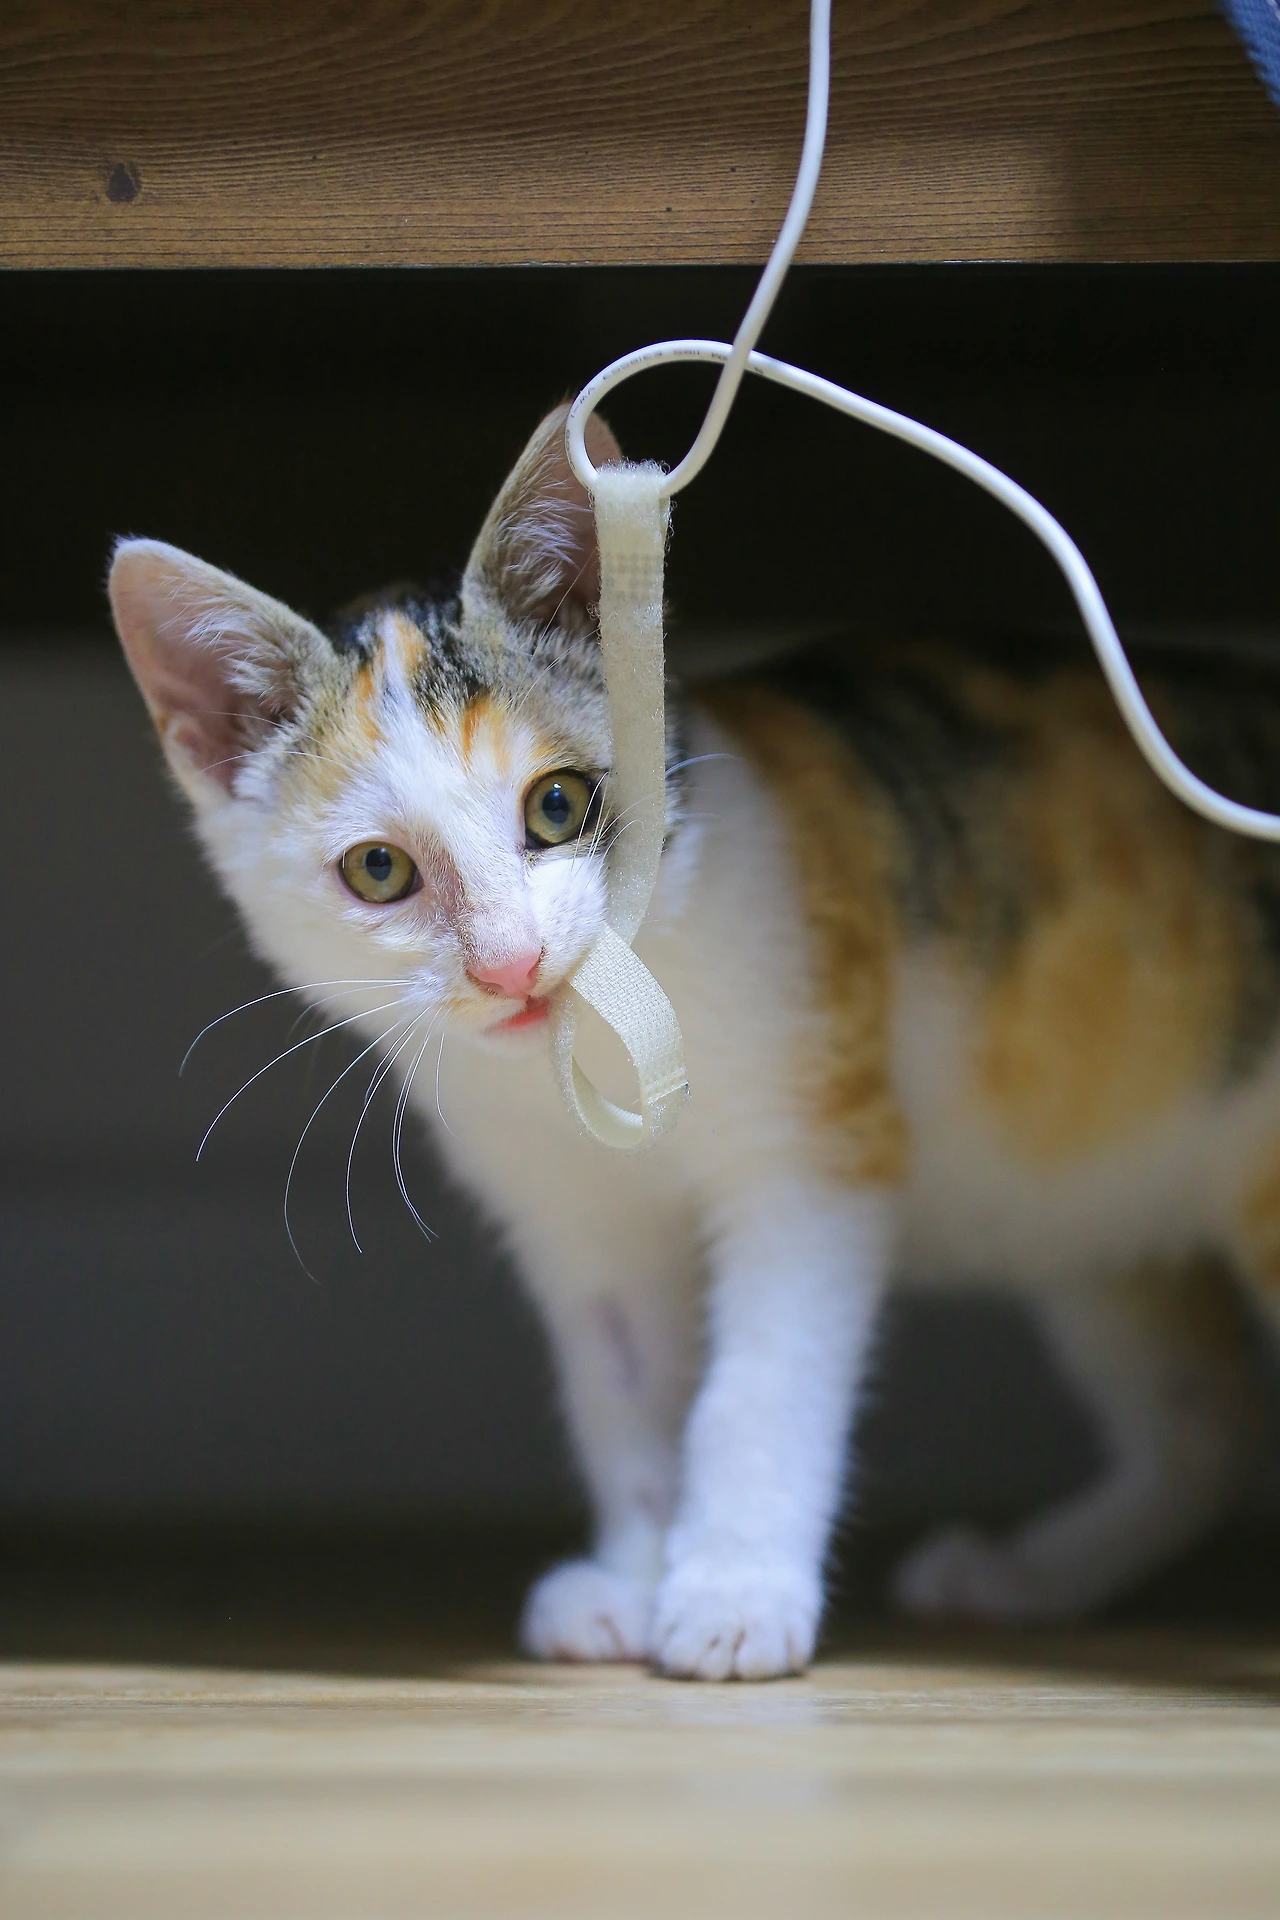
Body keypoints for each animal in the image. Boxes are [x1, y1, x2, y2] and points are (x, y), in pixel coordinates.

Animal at [108, 403, 1280, 1680]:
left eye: (557, 806)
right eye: (379, 870)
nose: (511, 961)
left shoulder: (809, 1157)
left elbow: (758, 1385)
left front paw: (730, 1590)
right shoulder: (575, 1219)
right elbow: (625, 1391)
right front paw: (631, 1573)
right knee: (1203, 1425)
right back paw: (1025, 1576)